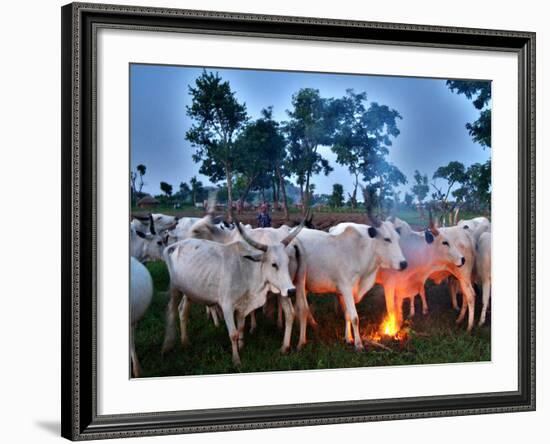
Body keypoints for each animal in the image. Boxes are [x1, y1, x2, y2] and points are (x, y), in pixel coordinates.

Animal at [162, 222, 304, 364]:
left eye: (287, 261)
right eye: (274, 264)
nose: (291, 290)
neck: (246, 269)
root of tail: (173, 246)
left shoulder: (243, 305)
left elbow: (241, 327)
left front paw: (241, 346)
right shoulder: (227, 306)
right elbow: (233, 333)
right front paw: (236, 359)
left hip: (189, 291)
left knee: (182, 310)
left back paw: (185, 342)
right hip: (175, 288)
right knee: (171, 311)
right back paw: (168, 345)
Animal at [298, 218, 410, 350]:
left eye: (398, 238)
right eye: (387, 239)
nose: (404, 264)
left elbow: (348, 314)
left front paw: (348, 338)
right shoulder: (345, 288)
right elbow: (355, 317)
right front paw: (358, 343)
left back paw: (314, 324)